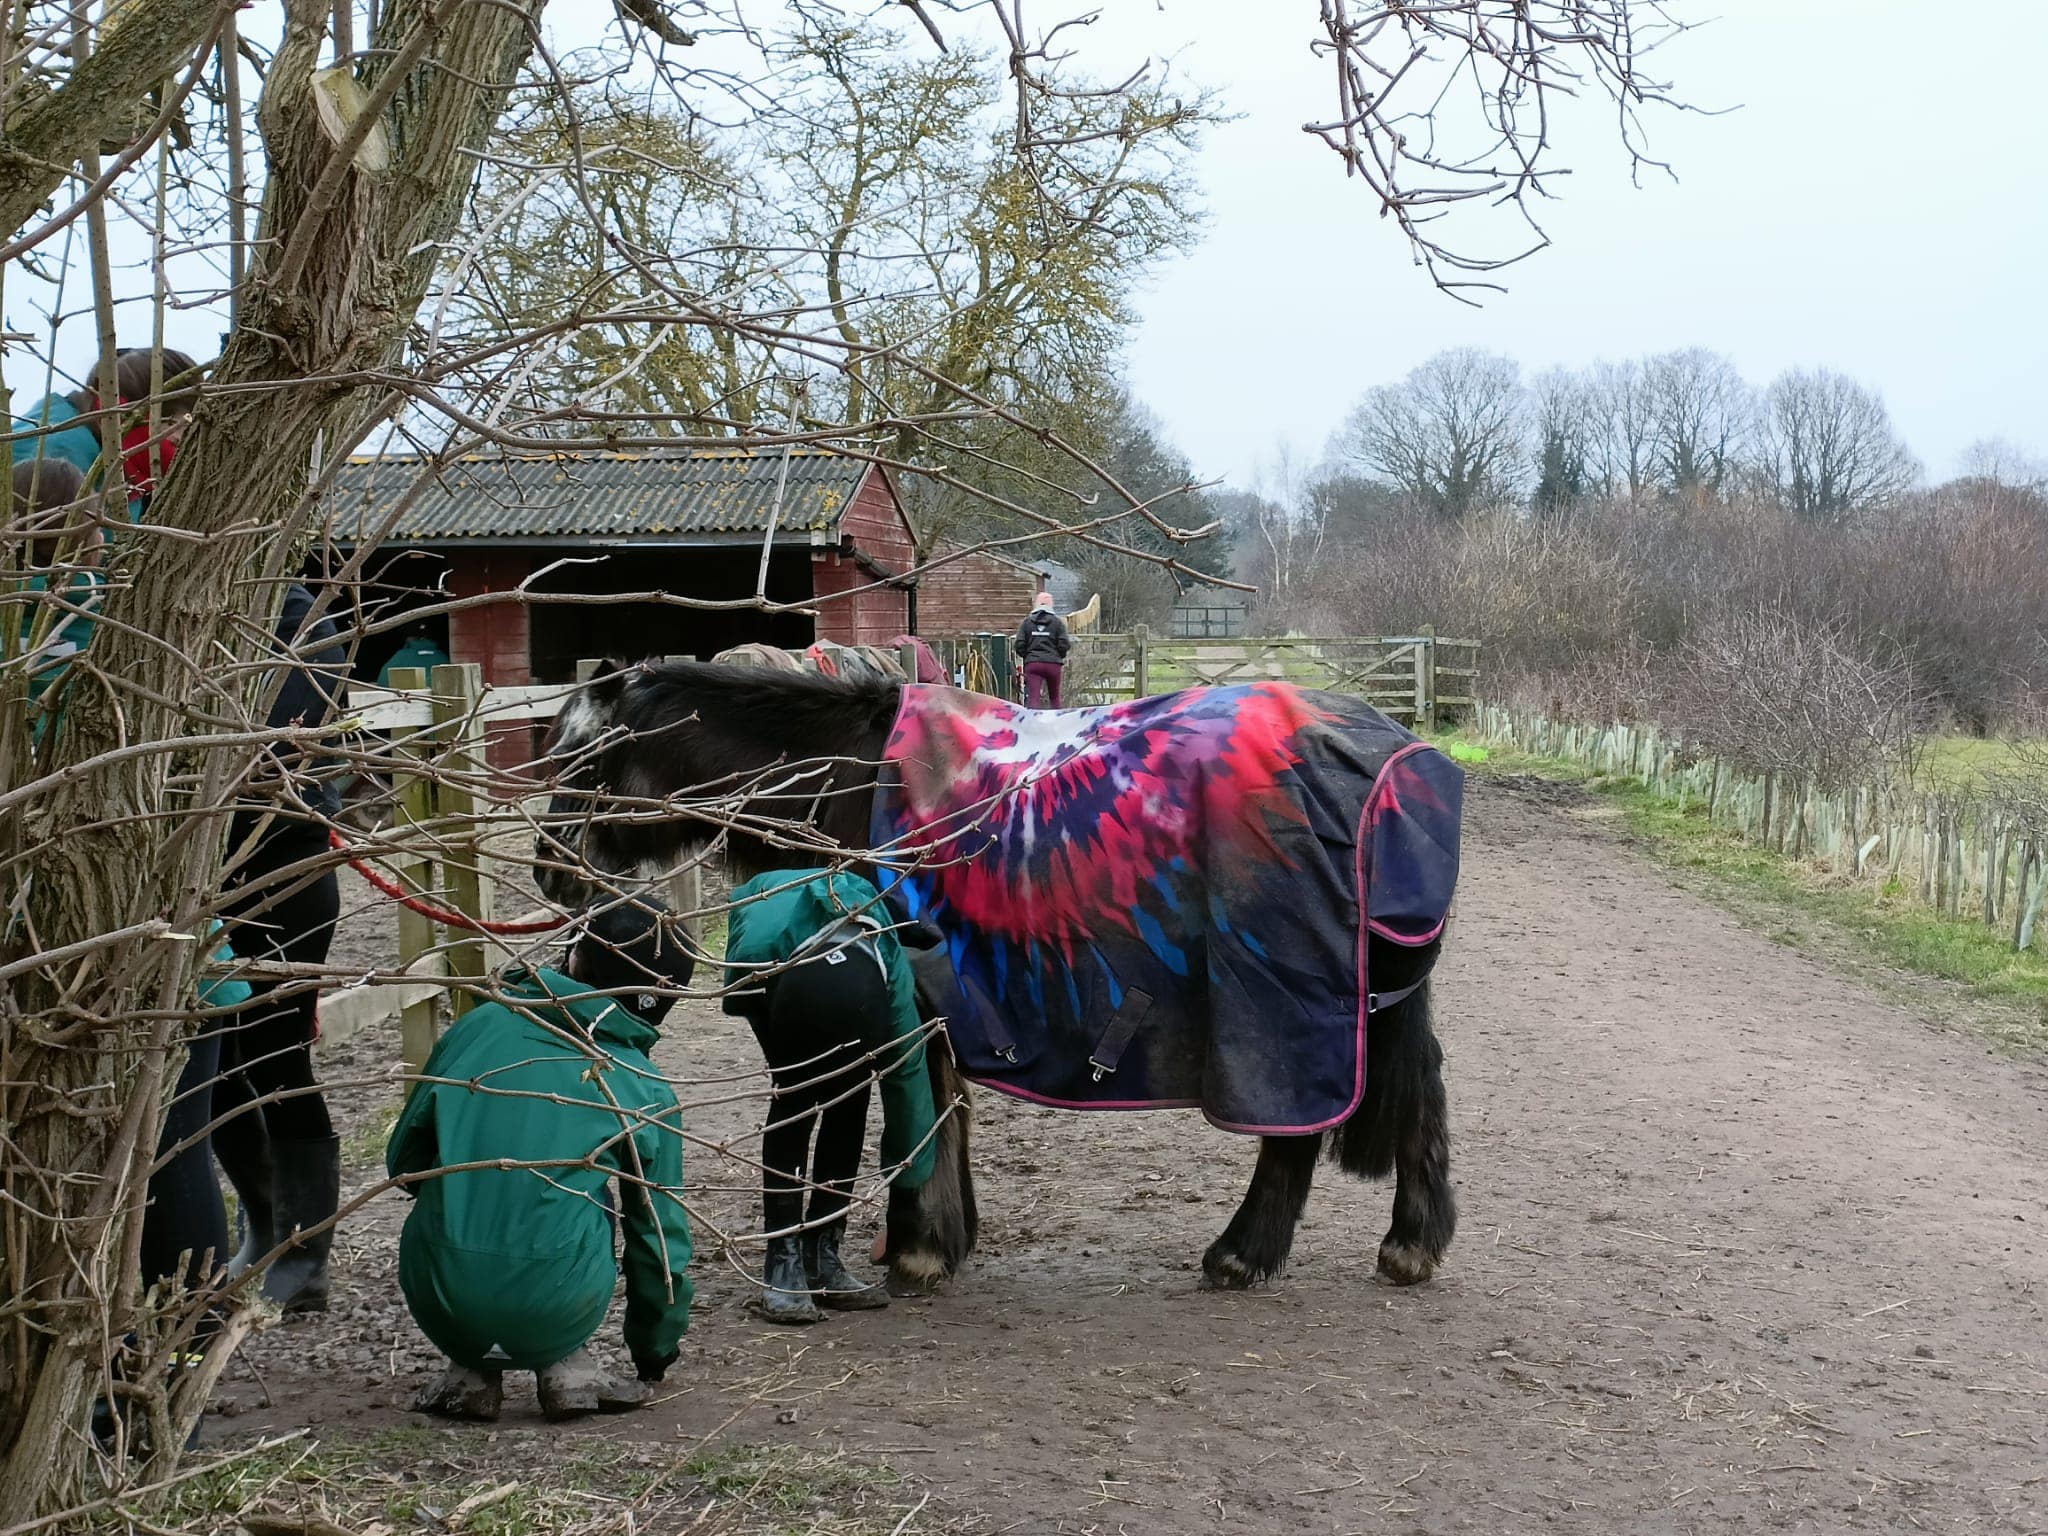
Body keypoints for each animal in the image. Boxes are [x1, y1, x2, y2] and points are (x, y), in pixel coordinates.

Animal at [532, 659, 1459, 1297]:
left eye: (580, 762)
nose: (550, 875)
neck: (851, 778)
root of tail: (1404, 762)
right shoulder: (950, 993)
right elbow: (948, 1112)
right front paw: (945, 1238)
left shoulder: (913, 986)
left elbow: (923, 1113)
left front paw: (917, 1247)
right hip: (1373, 992)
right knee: (1420, 1089)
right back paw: (1410, 1243)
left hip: (1282, 992)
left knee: (1294, 1123)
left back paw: (1241, 1254)